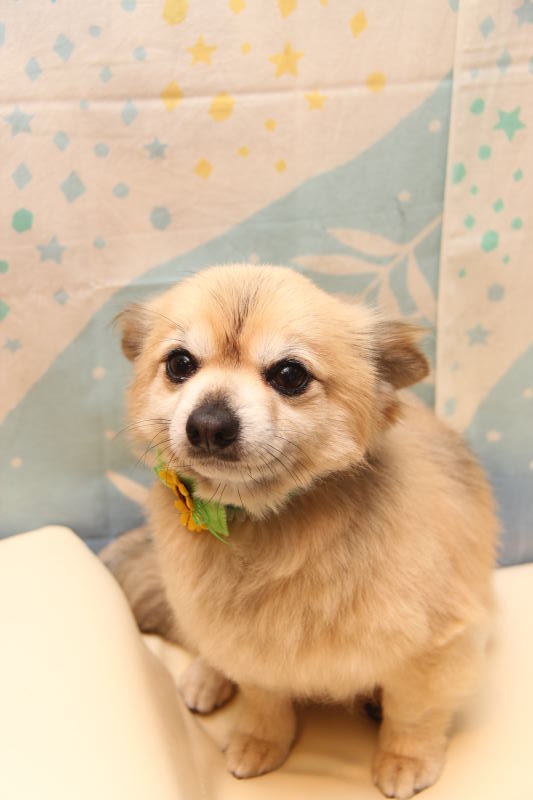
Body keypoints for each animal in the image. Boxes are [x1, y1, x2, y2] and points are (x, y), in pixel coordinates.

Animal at [101, 264, 497, 798]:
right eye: (180, 364)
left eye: (290, 375)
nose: (208, 423)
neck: (266, 520)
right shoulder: (251, 643)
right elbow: (265, 700)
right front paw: (261, 742)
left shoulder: (437, 644)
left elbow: (413, 711)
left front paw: (405, 758)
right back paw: (207, 677)